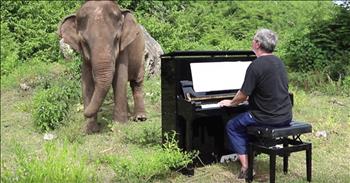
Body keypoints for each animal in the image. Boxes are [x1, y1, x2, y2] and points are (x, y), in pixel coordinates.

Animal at [57, 0, 146, 134]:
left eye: (117, 39)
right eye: (84, 42)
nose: (83, 112)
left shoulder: (123, 50)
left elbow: (120, 79)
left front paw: (119, 126)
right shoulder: (85, 59)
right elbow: (87, 82)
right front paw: (90, 130)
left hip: (141, 52)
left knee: (136, 82)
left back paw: (140, 118)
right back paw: (129, 115)